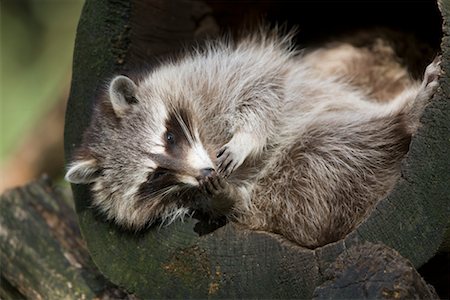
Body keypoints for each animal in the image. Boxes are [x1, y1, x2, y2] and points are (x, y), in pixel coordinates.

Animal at [64, 29, 440, 248]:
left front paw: (247, 138)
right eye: (154, 176)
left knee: (341, 139)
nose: (206, 174)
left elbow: (262, 89)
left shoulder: (212, 77)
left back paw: (403, 117)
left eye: (169, 136)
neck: (205, 135)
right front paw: (218, 200)